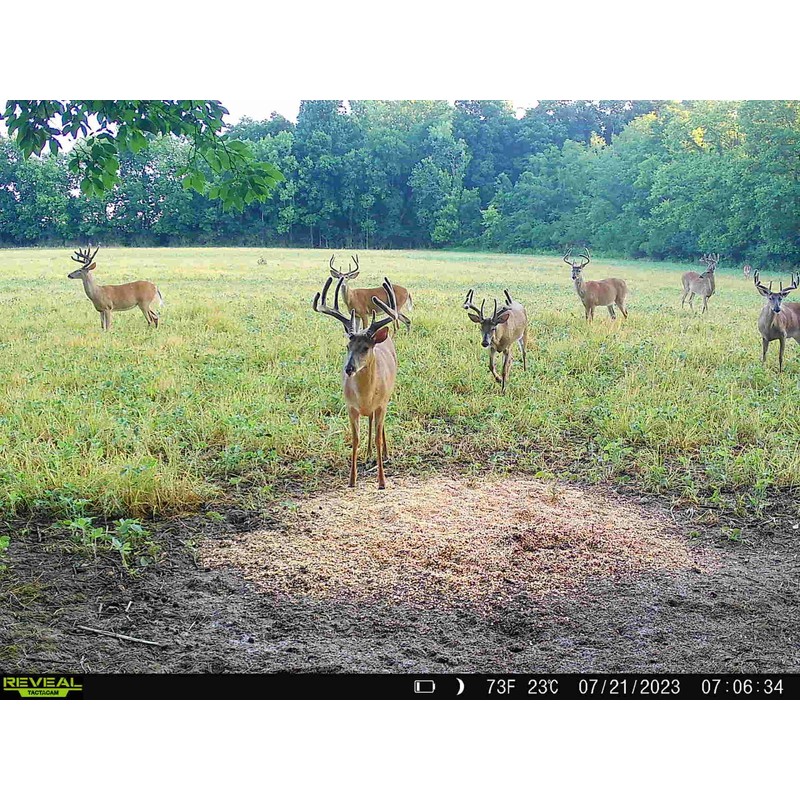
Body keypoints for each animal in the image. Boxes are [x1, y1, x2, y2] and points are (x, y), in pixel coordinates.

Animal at [313, 274, 404, 489]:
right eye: (348, 346)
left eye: (365, 348)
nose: (349, 369)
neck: (365, 396)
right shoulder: (350, 407)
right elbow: (355, 439)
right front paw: (352, 479)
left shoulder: (381, 404)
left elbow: (378, 437)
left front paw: (382, 481)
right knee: (369, 421)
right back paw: (368, 454)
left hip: (387, 397)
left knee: (379, 427)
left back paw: (384, 454)